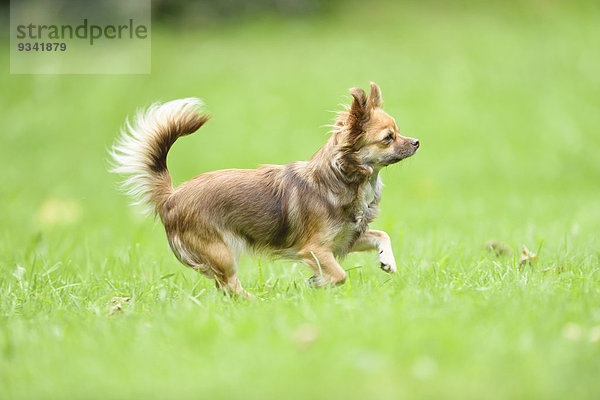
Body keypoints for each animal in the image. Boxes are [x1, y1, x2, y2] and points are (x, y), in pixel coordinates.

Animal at [113, 83, 422, 296]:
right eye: (388, 138)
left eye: (399, 132)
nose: (416, 141)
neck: (347, 179)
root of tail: (171, 196)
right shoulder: (314, 249)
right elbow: (339, 275)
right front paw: (317, 282)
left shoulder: (344, 240)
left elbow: (382, 234)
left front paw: (387, 260)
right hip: (221, 252)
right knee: (230, 288)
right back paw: (256, 301)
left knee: (224, 288)